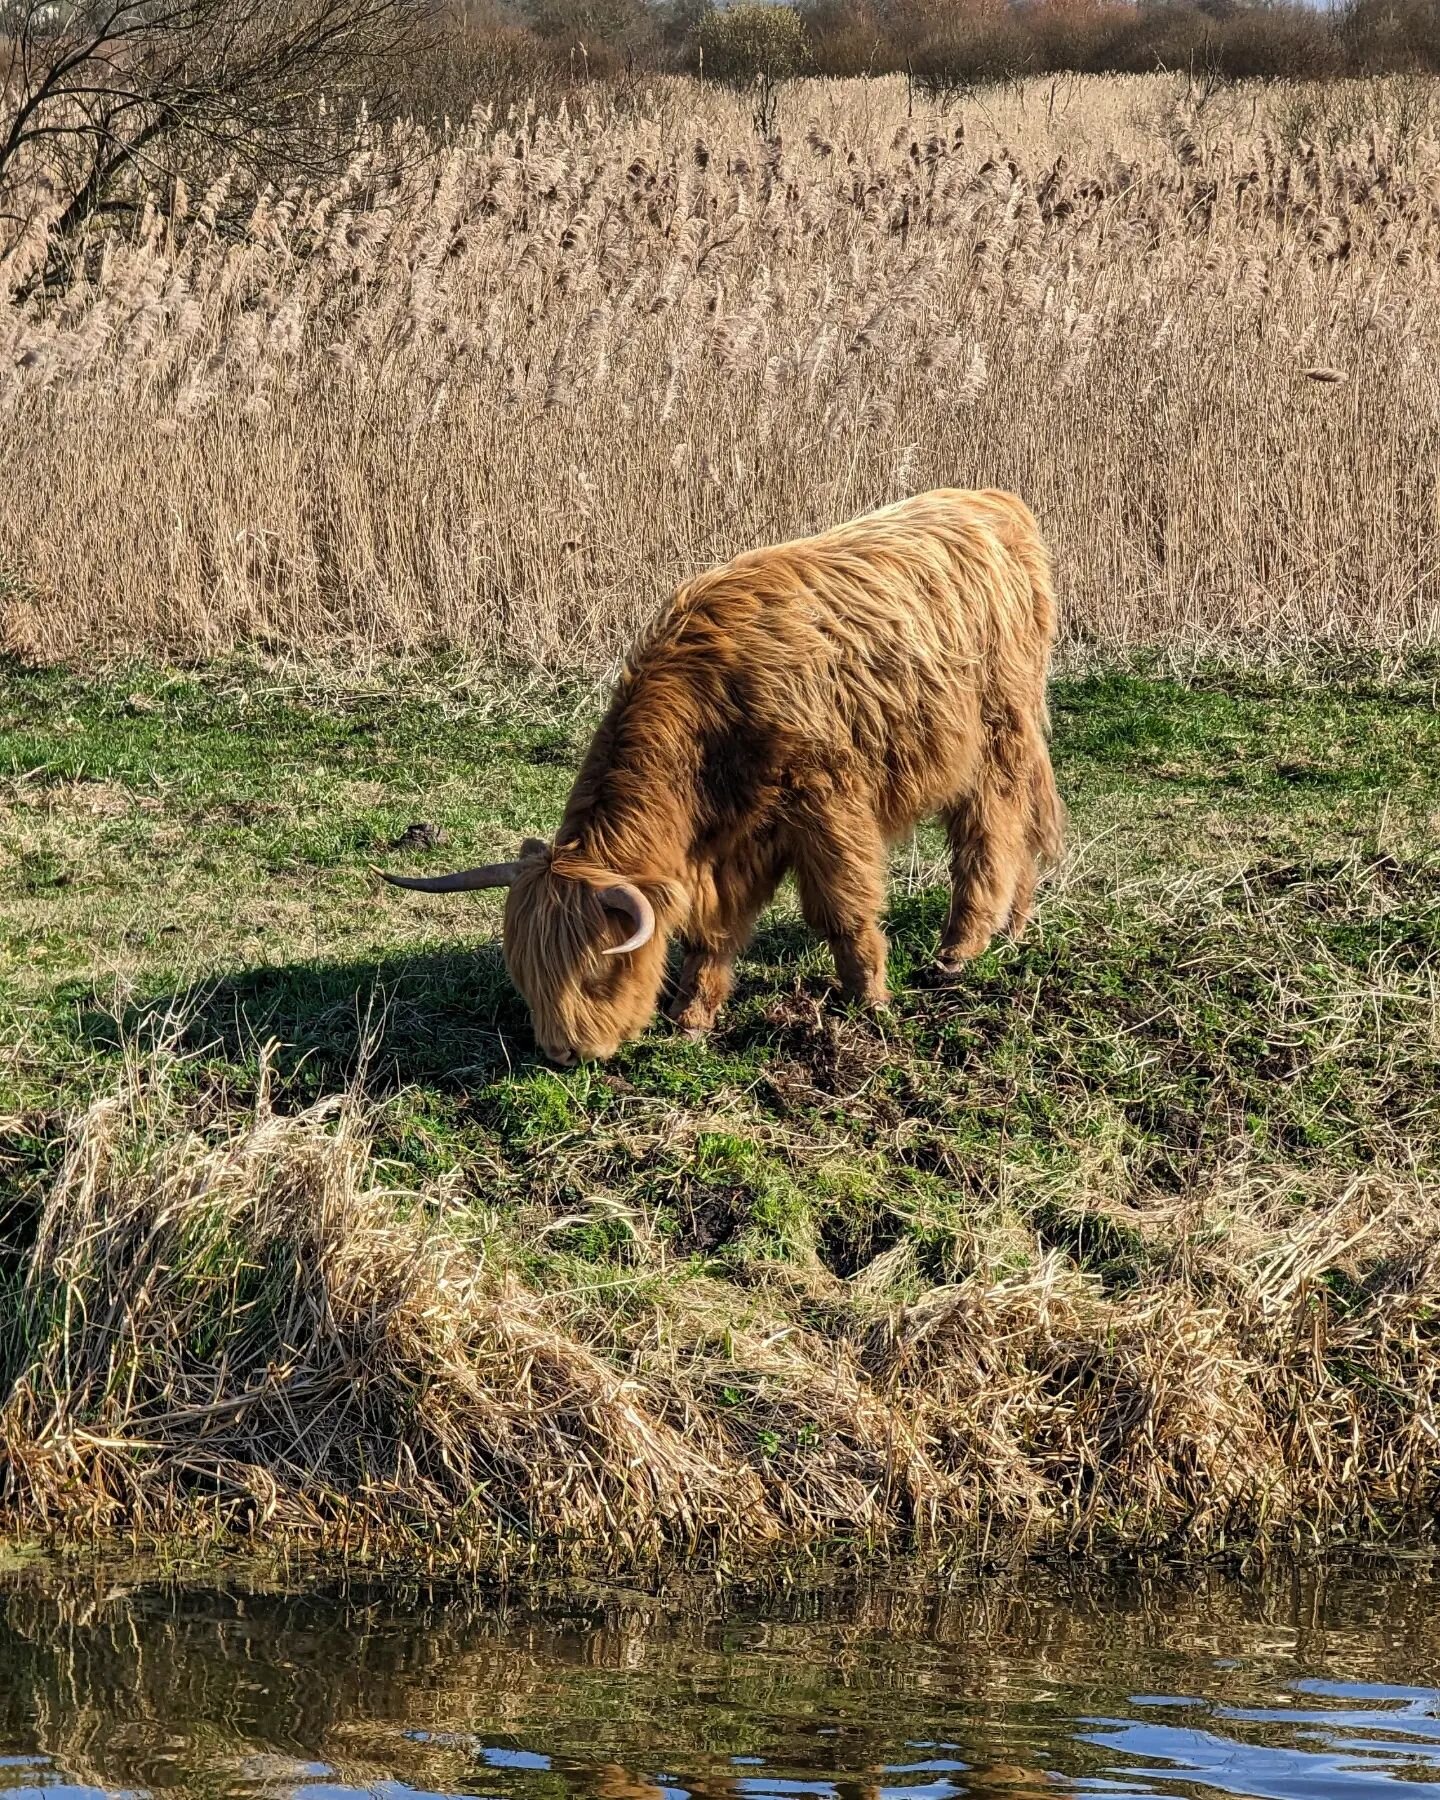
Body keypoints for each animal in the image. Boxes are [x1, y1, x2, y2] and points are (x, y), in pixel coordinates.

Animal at [379, 486, 1058, 1058]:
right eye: (524, 974)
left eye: (596, 970)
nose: (561, 1052)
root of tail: (995, 501)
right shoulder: (730, 846)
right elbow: (711, 932)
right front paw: (690, 1020)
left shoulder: (829, 805)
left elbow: (845, 908)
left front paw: (869, 1001)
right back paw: (1015, 927)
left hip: (996, 736)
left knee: (990, 833)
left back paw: (958, 951)